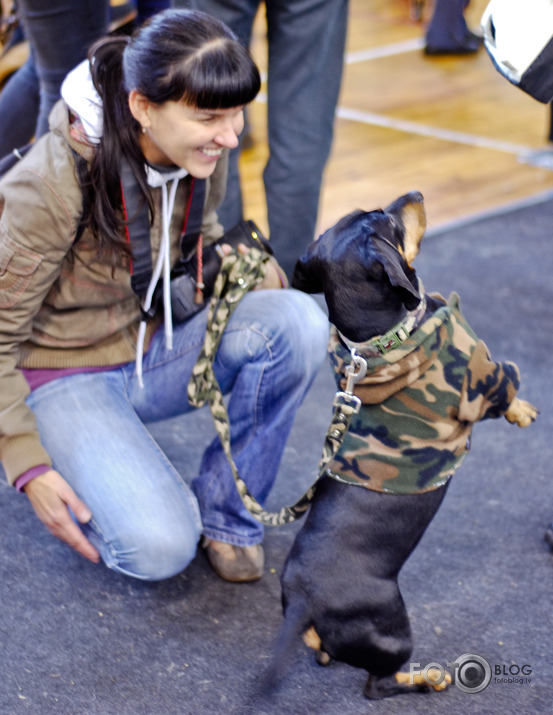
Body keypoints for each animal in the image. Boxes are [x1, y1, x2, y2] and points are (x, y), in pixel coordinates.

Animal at [266, 190, 536, 700]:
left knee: (328, 656)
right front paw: (524, 411)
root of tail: (303, 603)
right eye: (384, 220)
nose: (416, 194)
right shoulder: (484, 374)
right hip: (393, 628)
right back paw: (428, 679)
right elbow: (505, 391)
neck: (380, 341)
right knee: (380, 685)